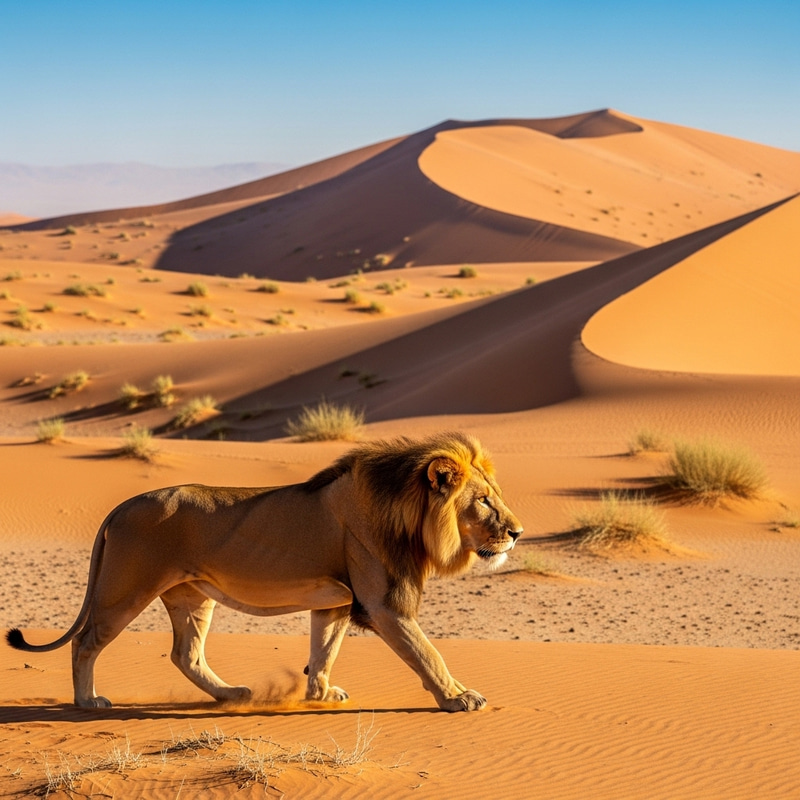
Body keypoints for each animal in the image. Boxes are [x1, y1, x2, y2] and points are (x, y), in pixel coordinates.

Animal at [7, 432, 522, 711]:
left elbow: (324, 650)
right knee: (85, 642)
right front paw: (458, 698)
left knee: (185, 654)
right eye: (483, 501)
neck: (404, 512)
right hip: (125, 589)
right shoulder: (384, 605)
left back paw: (232, 694)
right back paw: (87, 702)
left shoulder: (337, 602)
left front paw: (319, 693)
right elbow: (427, 653)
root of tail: (120, 507)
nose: (518, 532)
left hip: (192, 596)